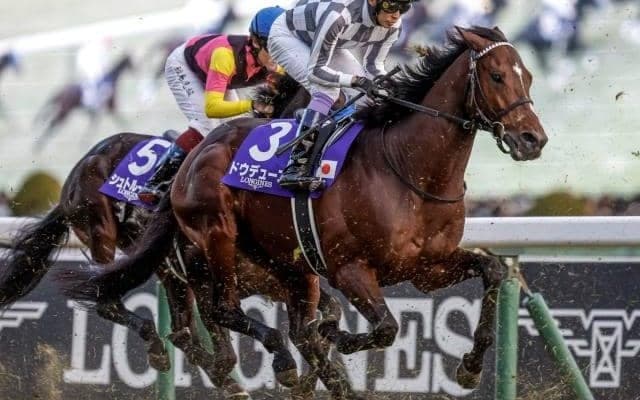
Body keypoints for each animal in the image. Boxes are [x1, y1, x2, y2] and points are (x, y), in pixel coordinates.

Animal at [1, 73, 324, 398]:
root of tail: (77, 171)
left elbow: (320, 324)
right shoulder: (201, 271)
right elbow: (228, 340)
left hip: (164, 267)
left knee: (180, 331)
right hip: (102, 229)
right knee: (110, 302)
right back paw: (158, 347)